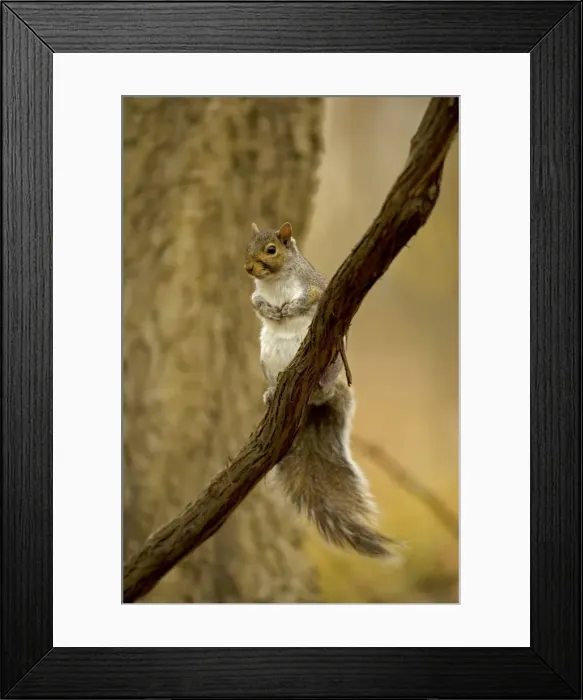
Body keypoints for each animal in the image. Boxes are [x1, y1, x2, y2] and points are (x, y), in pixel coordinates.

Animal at [244, 221, 398, 558]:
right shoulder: (256, 295)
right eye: (247, 247)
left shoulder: (315, 287)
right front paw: (272, 311)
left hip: (328, 366)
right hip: (266, 358)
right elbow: (256, 304)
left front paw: (289, 309)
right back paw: (271, 393)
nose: (248, 268)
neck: (274, 281)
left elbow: (310, 298)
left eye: (271, 250)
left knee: (321, 389)